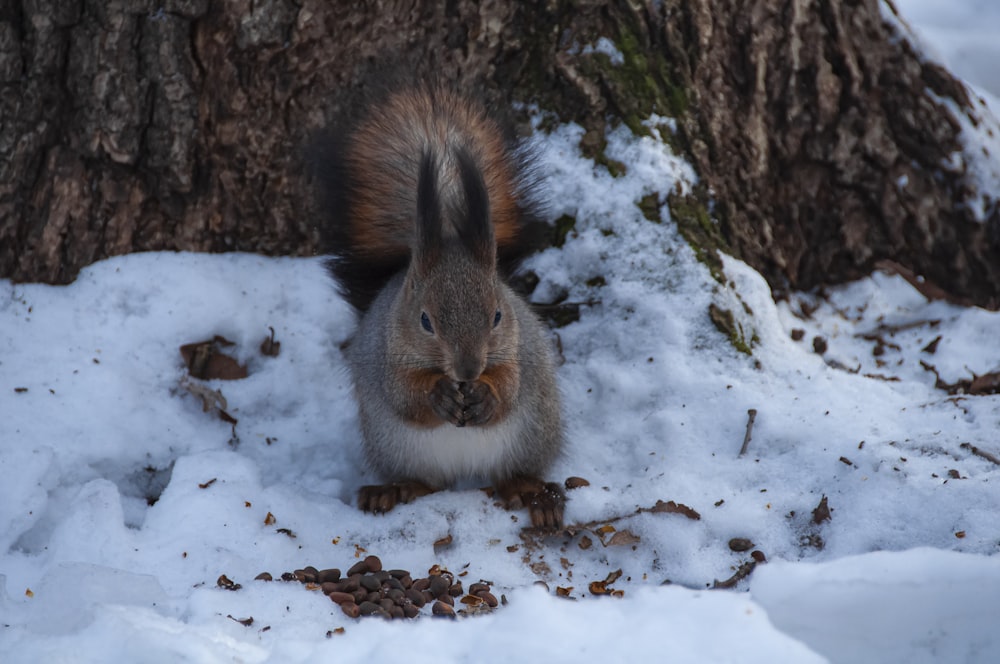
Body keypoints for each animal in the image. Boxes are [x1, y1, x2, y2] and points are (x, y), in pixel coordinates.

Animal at [316, 81, 568, 528]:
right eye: (425, 321)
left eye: (498, 315)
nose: (469, 370)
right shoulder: (388, 357)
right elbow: (405, 396)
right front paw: (438, 396)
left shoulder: (517, 349)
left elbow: (510, 385)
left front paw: (487, 396)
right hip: (397, 447)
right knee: (426, 483)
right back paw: (393, 491)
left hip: (533, 433)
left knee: (513, 473)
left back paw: (532, 494)